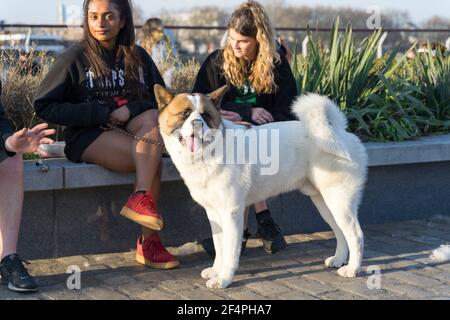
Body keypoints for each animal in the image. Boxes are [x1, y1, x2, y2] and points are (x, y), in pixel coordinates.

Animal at [155, 84, 370, 288]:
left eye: (206, 115)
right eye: (184, 114)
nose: (197, 123)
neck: (211, 150)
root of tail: (340, 132)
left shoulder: (231, 213)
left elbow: (230, 251)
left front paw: (224, 278)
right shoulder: (214, 214)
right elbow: (219, 247)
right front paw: (216, 270)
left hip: (339, 202)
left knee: (356, 235)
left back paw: (352, 269)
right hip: (325, 203)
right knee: (340, 232)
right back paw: (339, 260)